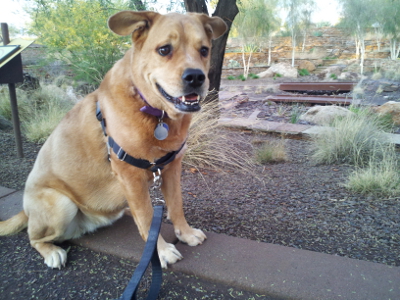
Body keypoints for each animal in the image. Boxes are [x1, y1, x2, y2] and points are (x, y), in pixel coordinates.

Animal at [0, 11, 225, 270]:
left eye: (204, 50)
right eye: (164, 49)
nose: (196, 77)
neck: (153, 112)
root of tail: (26, 212)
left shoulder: (171, 167)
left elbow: (176, 205)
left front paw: (185, 234)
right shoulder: (130, 174)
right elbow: (147, 218)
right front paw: (160, 251)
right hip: (60, 204)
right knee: (34, 238)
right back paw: (52, 252)